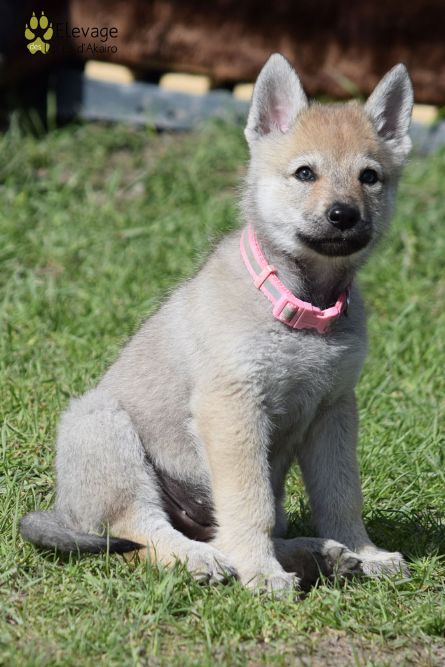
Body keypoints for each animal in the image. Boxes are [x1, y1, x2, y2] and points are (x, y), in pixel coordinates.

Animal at [20, 54, 413, 593]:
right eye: (305, 173)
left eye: (369, 177)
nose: (343, 214)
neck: (299, 307)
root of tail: (64, 511)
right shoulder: (233, 408)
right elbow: (251, 502)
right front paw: (260, 572)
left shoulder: (334, 411)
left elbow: (341, 495)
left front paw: (364, 552)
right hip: (103, 427)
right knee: (138, 533)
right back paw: (202, 559)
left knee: (222, 531)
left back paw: (318, 554)